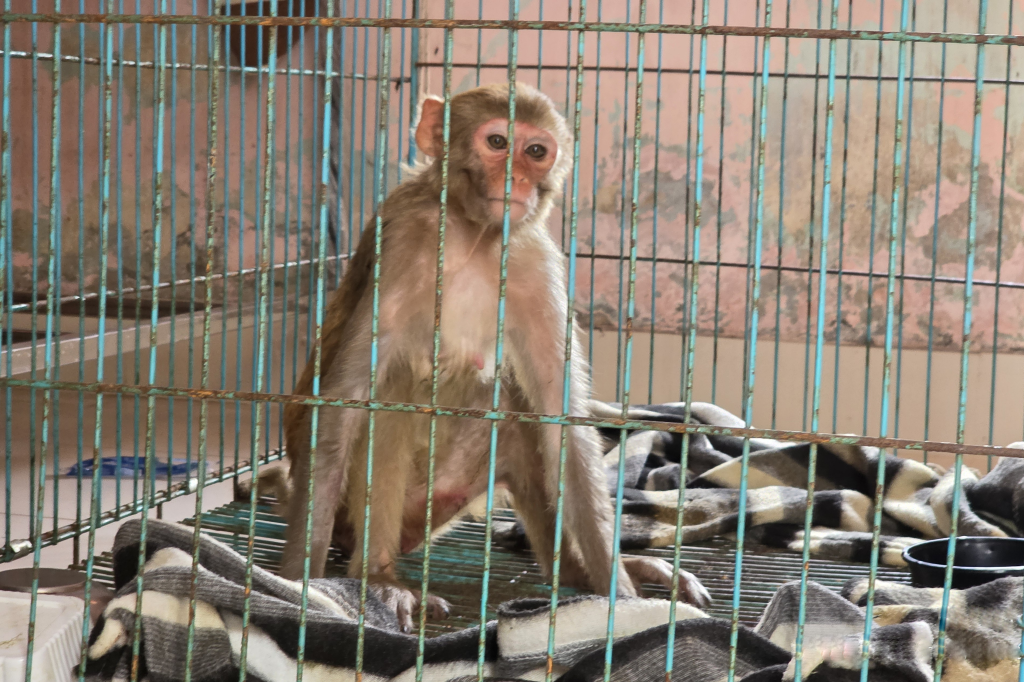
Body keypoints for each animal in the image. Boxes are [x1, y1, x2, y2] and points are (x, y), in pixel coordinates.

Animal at [276, 82, 712, 632]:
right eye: (498, 142)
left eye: (536, 151)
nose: (517, 178)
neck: (474, 236)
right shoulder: (404, 239)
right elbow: (346, 400)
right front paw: (300, 584)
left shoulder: (533, 261)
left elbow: (562, 421)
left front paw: (618, 594)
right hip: (362, 518)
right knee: (392, 391)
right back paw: (379, 578)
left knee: (514, 412)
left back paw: (576, 575)